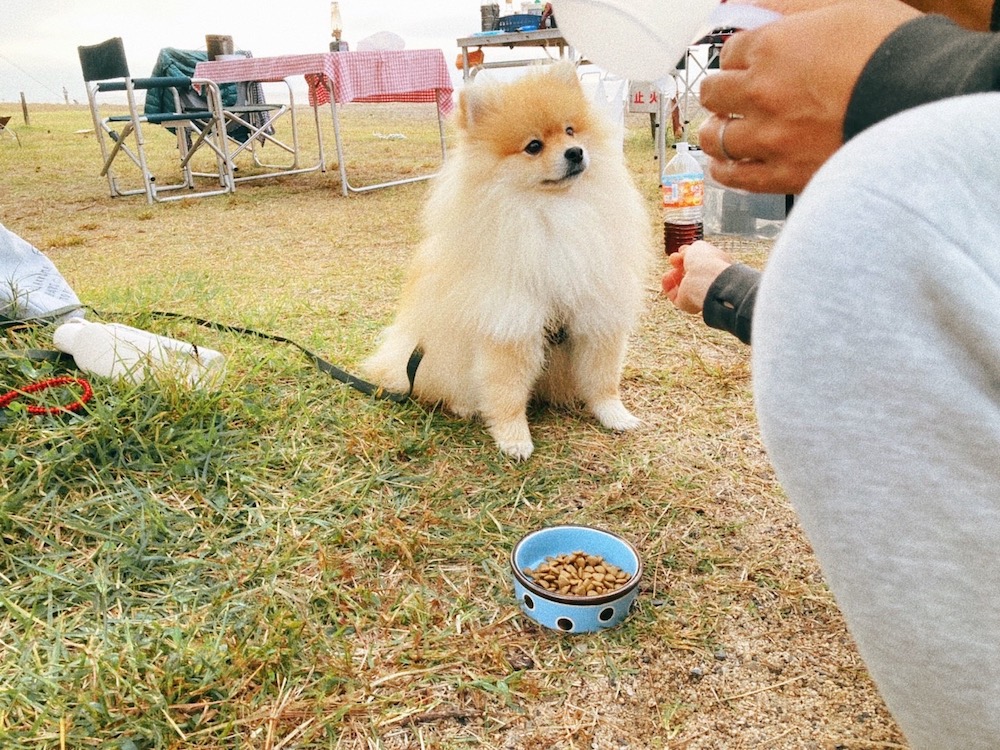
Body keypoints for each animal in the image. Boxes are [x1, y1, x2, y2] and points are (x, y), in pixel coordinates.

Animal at [364, 63, 652, 458]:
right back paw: (463, 405)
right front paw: (514, 439)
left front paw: (615, 416)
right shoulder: (510, 325)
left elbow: (603, 380)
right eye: (533, 146)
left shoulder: (597, 315)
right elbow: (507, 393)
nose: (576, 152)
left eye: (570, 131)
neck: (555, 212)